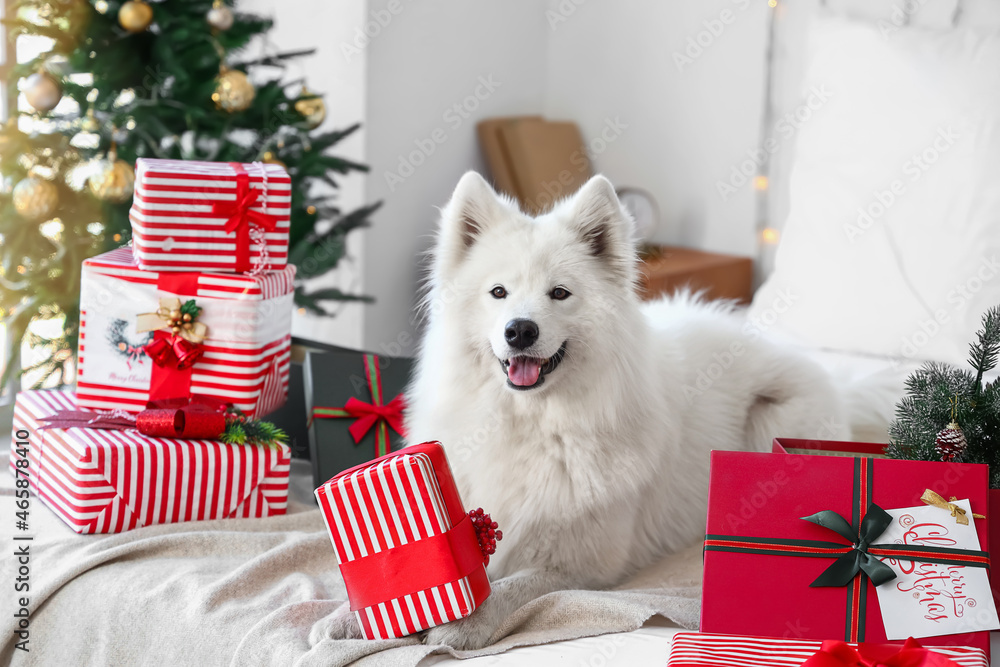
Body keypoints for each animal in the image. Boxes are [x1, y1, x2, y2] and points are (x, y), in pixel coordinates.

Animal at [332, 170, 848, 648]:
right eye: (498, 292)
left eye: (559, 293)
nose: (520, 330)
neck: (534, 423)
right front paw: (354, 615)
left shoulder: (579, 564)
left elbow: (509, 588)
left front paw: (463, 623)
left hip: (772, 417)